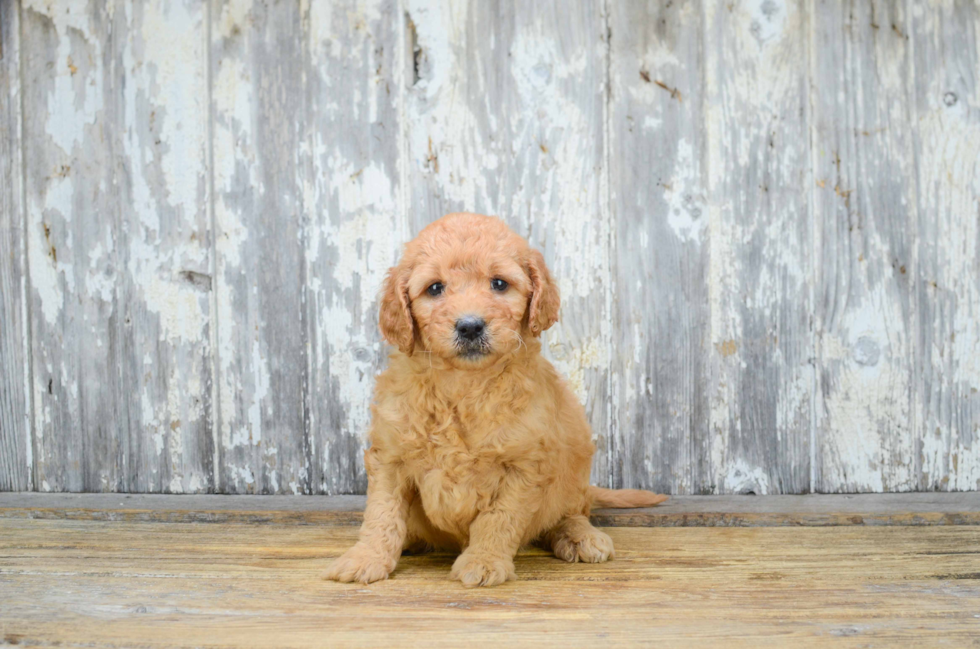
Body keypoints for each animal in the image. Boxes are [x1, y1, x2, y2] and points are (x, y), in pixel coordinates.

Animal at [328, 214, 668, 588]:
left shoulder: (523, 466)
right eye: (434, 288)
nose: (470, 326)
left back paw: (580, 536)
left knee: (569, 511)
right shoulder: (390, 456)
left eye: (500, 284)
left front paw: (484, 561)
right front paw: (367, 558)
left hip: (576, 454)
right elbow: (382, 513)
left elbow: (499, 518)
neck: (464, 384)